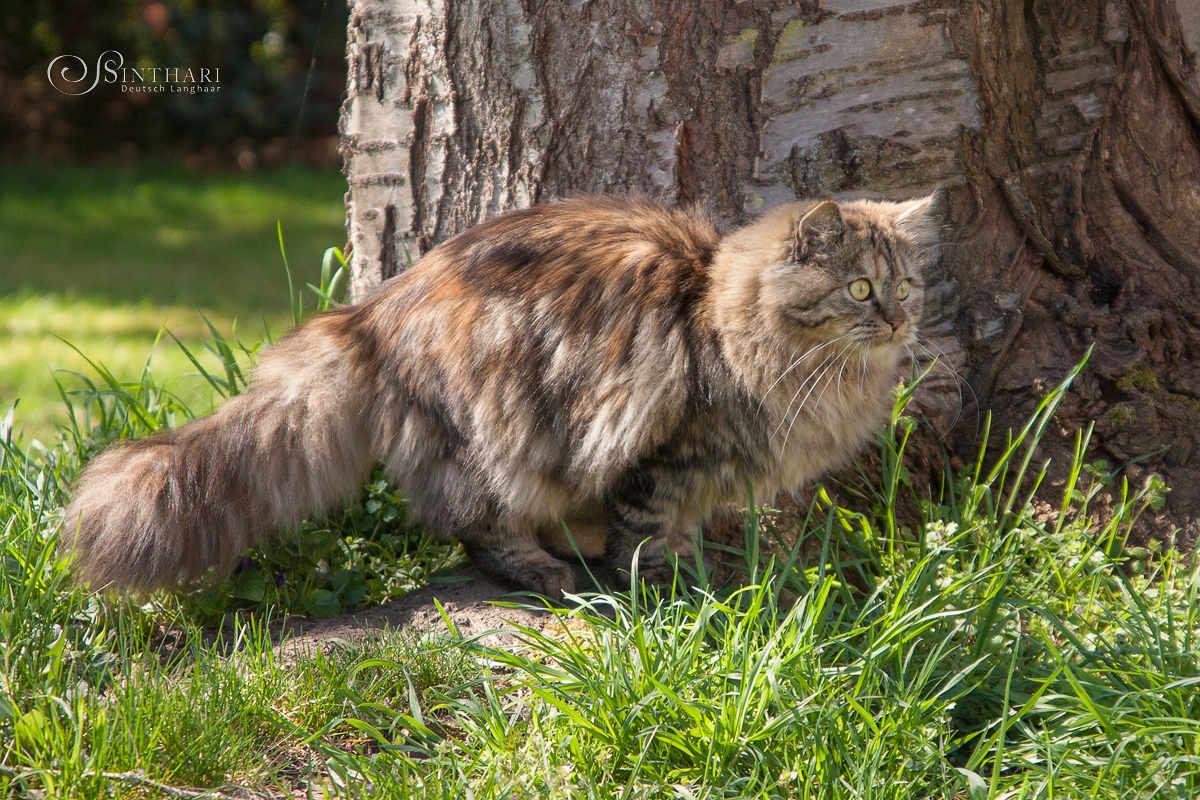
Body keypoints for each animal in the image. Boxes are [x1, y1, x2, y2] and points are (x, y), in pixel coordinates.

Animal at [63, 191, 936, 594]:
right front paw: (673, 591)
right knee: (473, 526)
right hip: (492, 437)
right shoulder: (664, 452)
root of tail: (374, 311)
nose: (898, 320)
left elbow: (676, 530)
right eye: (859, 289)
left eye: (906, 285)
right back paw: (548, 573)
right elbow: (649, 535)